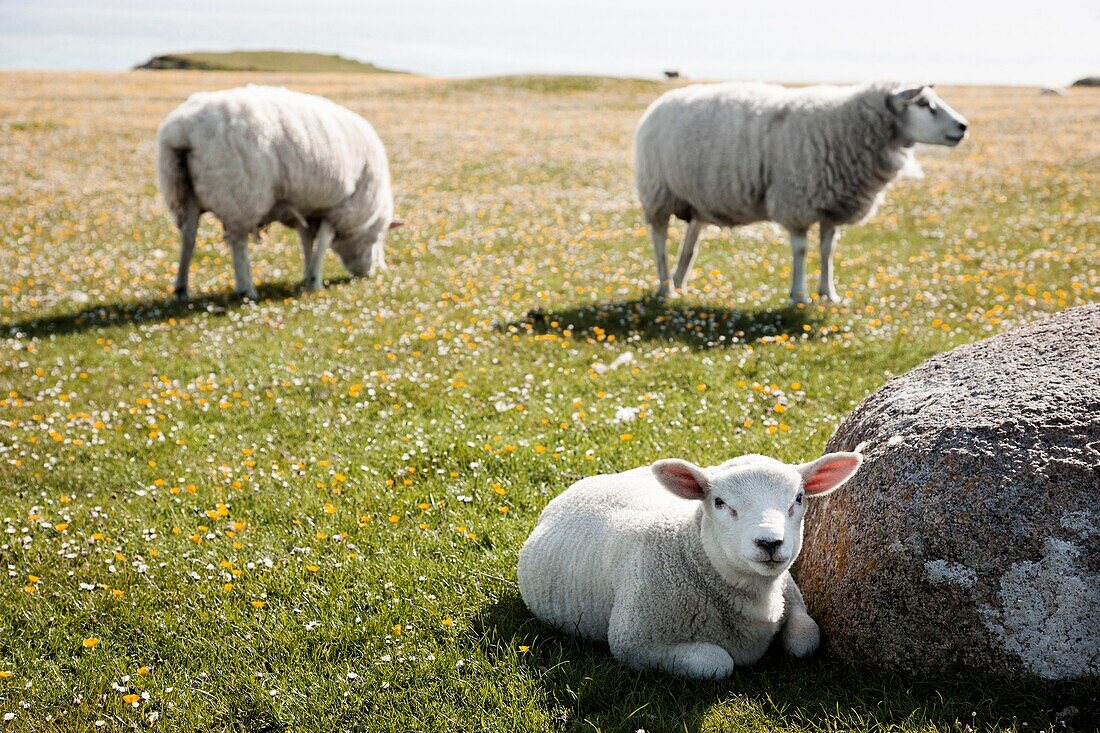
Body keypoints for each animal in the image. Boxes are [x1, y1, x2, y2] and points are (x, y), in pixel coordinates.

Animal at [152, 86, 398, 299]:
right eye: (379, 237)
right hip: (240, 195)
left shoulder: (306, 207)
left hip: (186, 192)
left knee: (188, 238)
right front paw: (316, 281)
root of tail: (182, 131)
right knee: (237, 242)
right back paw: (247, 289)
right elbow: (323, 242)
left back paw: (182, 289)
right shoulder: (340, 207)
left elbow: (306, 240)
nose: (368, 274)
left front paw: (307, 275)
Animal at [519, 451, 862, 677]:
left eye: (799, 498)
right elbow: (717, 662)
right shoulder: (635, 643)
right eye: (719, 502)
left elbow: (806, 638)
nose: (769, 543)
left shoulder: (793, 601)